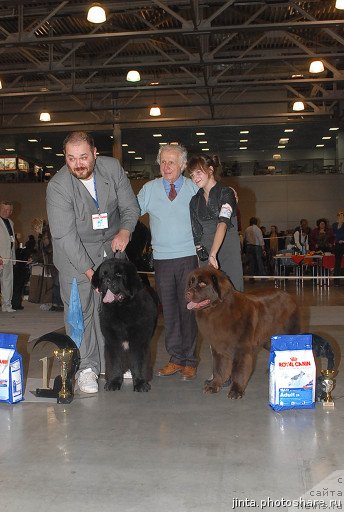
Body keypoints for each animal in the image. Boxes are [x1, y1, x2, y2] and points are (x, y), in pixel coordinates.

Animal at [90, 258, 157, 394]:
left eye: (118, 274)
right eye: (103, 274)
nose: (107, 280)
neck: (121, 309)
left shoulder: (139, 342)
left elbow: (139, 363)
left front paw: (140, 383)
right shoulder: (112, 342)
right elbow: (114, 362)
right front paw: (113, 382)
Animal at [185, 268, 298, 400]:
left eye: (203, 284)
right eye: (191, 283)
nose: (187, 293)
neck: (218, 309)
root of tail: (289, 295)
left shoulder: (241, 349)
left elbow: (238, 371)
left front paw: (236, 391)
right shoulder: (218, 347)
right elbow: (219, 368)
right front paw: (214, 385)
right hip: (267, 340)